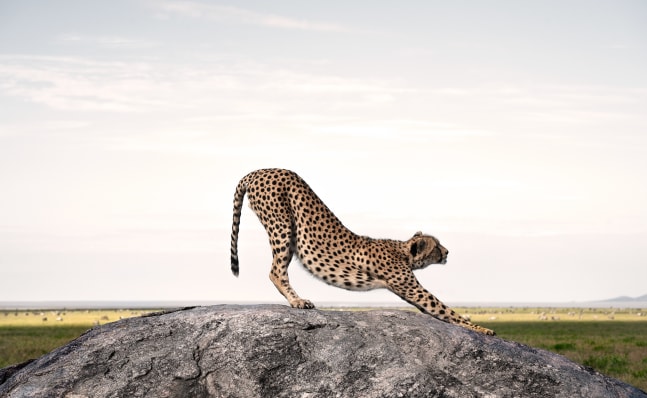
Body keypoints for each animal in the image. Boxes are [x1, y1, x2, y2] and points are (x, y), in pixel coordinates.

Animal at [230, 169, 494, 336]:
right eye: (436, 246)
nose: (447, 251)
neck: (403, 251)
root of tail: (260, 170)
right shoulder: (410, 287)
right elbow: (442, 307)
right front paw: (482, 329)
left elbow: (439, 311)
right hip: (282, 225)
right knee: (276, 270)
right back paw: (297, 300)